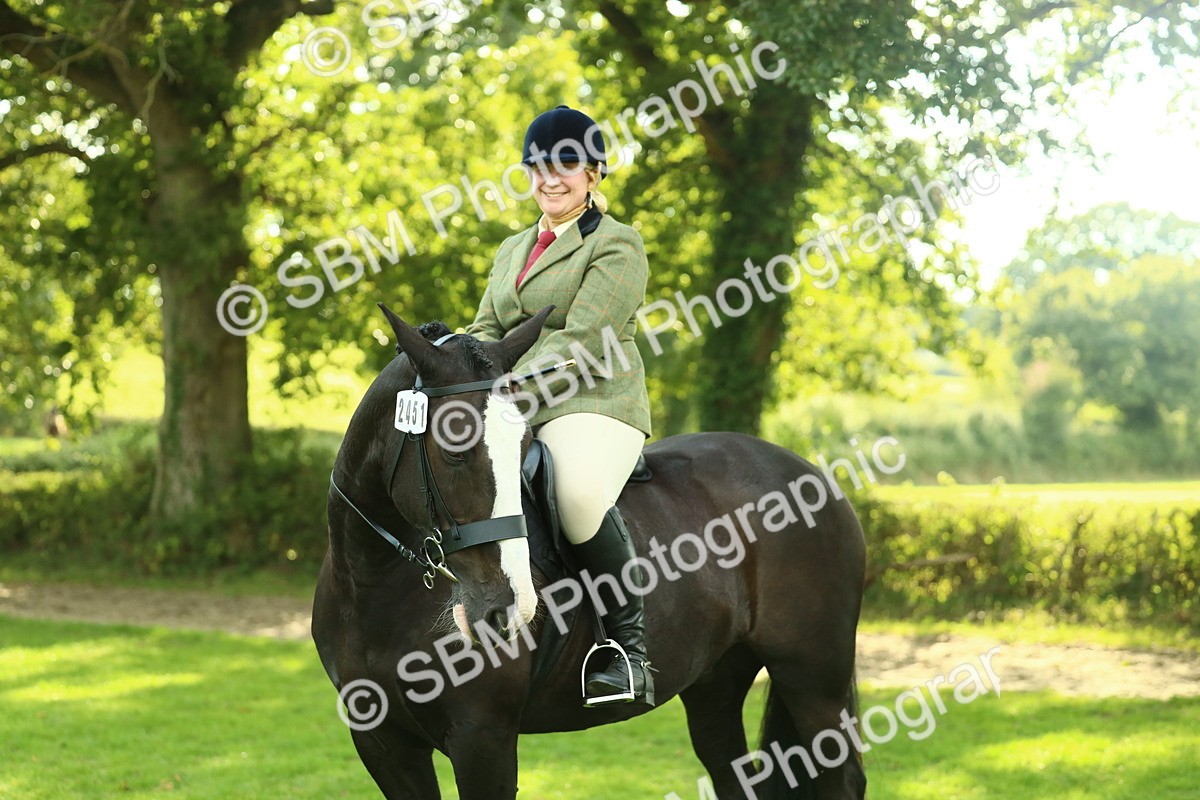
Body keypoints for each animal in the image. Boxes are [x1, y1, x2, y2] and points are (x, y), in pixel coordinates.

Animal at [312, 304, 868, 800]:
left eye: (523, 446)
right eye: (453, 450)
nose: (507, 610)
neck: (373, 579)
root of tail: (816, 475)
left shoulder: (483, 739)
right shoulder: (382, 743)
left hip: (814, 681)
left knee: (841, 777)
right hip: (717, 684)